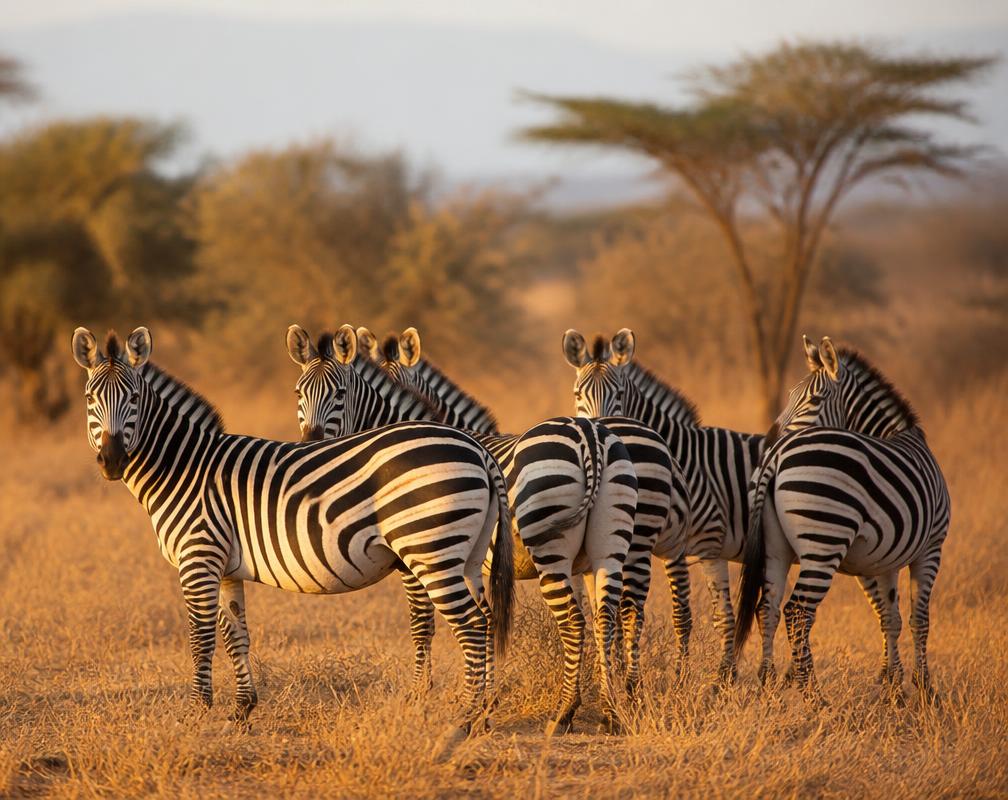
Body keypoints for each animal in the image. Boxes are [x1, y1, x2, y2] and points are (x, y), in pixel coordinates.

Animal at [71, 325, 515, 731]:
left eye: (132, 399)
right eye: (90, 399)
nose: (111, 461)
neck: (184, 466)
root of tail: (476, 448)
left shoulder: (198, 558)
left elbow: (201, 637)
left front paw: (196, 712)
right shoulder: (226, 567)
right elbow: (236, 636)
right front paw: (242, 710)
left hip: (430, 550)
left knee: (471, 624)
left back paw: (468, 716)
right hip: (467, 555)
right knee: (486, 617)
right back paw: (486, 711)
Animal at [287, 324, 637, 733]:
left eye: (339, 394)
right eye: (299, 393)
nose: (310, 444)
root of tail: (589, 434)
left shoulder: (416, 558)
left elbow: (424, 623)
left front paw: (421, 697)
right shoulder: (468, 563)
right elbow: (485, 621)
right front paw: (485, 703)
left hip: (561, 548)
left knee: (588, 619)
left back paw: (575, 708)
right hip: (605, 549)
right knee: (606, 619)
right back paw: (611, 709)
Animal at [562, 328, 764, 685]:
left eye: (618, 395)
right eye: (577, 395)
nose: (599, 430)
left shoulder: (684, 546)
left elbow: (682, 613)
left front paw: (682, 678)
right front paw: (616, 669)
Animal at [734, 336, 950, 704]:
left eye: (813, 399)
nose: (768, 439)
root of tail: (776, 457)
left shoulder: (883, 560)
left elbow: (889, 617)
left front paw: (893, 684)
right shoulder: (931, 547)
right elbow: (919, 619)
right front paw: (924, 688)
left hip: (775, 546)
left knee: (768, 607)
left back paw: (767, 684)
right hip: (824, 540)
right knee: (797, 612)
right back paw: (813, 694)